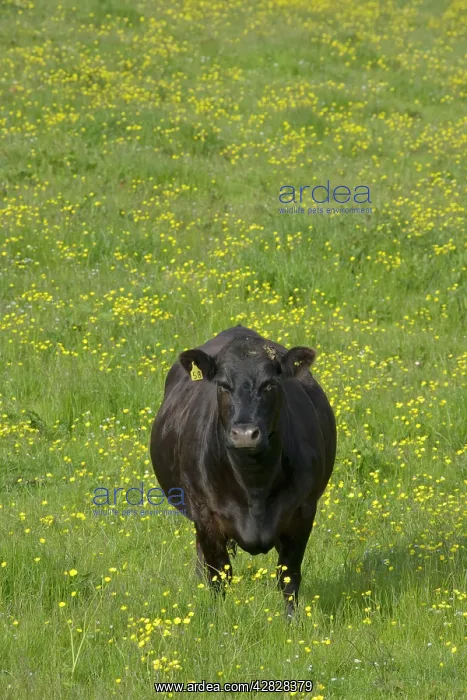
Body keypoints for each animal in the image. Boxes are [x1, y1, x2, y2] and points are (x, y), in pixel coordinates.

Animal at [150, 325, 336, 616]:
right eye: (223, 385)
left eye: (270, 384)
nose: (245, 434)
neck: (254, 485)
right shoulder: (205, 513)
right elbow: (218, 575)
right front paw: (220, 616)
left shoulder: (303, 511)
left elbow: (289, 575)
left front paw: (292, 620)